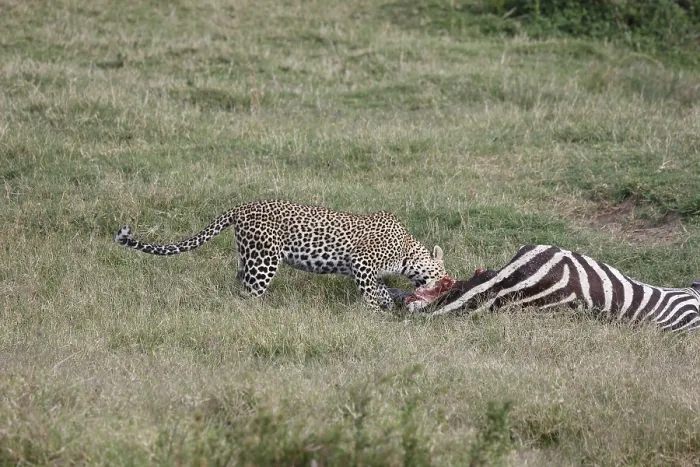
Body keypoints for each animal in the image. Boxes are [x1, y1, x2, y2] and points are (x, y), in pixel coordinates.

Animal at [114, 199, 447, 310]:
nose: (449, 287)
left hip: (247, 257)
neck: (407, 250)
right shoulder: (362, 264)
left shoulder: (365, 270)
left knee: (237, 287)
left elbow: (380, 289)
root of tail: (241, 207)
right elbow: (373, 294)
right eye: (445, 277)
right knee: (250, 293)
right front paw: (377, 315)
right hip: (264, 261)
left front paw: (388, 305)